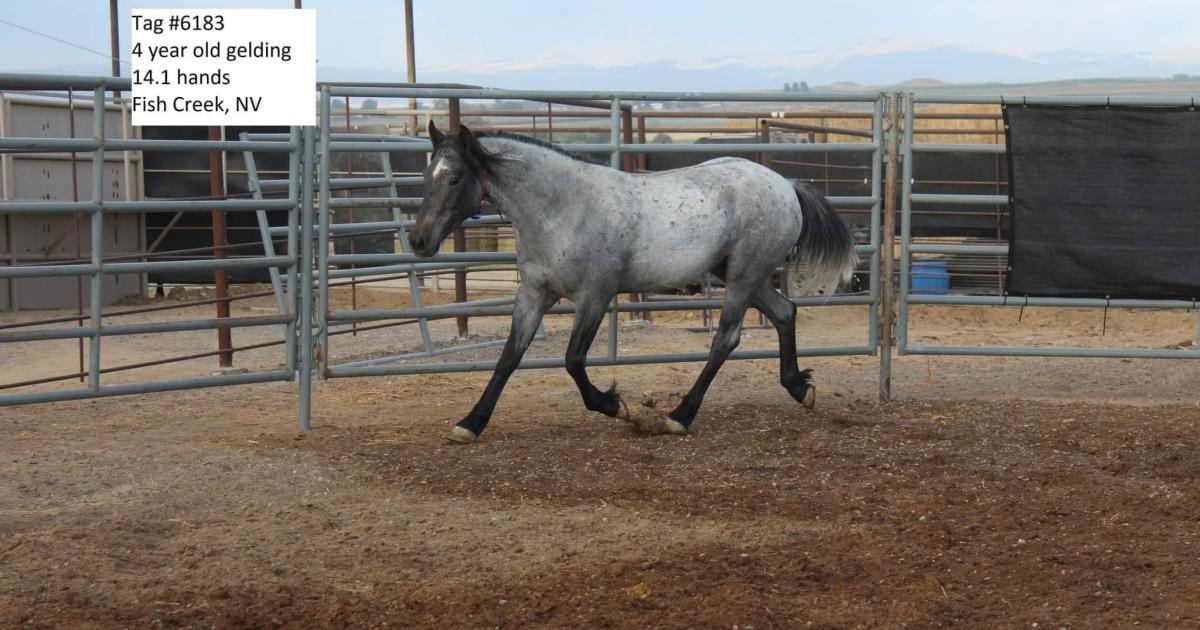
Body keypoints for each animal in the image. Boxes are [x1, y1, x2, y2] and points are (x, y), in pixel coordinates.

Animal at [409, 121, 858, 443]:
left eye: (454, 178)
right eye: (427, 177)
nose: (418, 241)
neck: (562, 208)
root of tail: (787, 186)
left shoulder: (595, 294)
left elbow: (573, 359)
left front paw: (614, 405)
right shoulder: (535, 294)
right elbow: (508, 357)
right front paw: (470, 423)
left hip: (744, 276)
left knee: (726, 339)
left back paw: (679, 417)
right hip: (739, 274)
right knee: (785, 312)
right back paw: (800, 388)